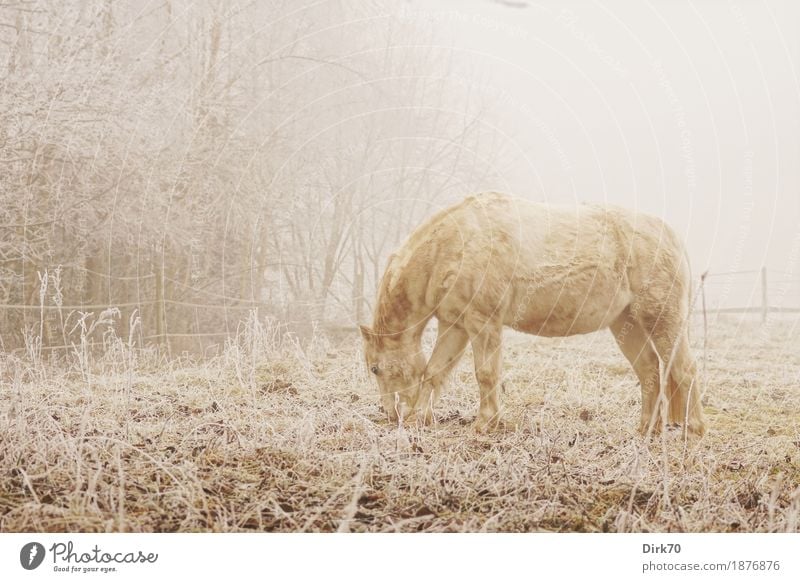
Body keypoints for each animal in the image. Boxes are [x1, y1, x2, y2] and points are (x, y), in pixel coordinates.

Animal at [360, 194, 708, 436]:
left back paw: (693, 432)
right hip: (627, 322)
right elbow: (435, 372)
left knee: (685, 369)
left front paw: (485, 424)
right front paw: (420, 419)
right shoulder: (455, 325)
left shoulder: (482, 322)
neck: (452, 246)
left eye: (375, 368)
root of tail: (671, 235)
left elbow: (486, 374)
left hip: (662, 318)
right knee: (649, 371)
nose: (392, 415)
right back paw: (646, 430)